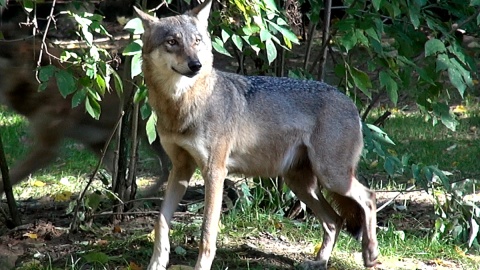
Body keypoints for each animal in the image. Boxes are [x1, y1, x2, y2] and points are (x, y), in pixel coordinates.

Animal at [135, 1, 378, 268]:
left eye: (197, 41)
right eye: (172, 42)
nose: (195, 65)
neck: (182, 106)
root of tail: (350, 102)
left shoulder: (214, 172)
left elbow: (207, 232)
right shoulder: (181, 169)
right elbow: (160, 221)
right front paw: (156, 263)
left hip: (332, 177)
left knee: (369, 197)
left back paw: (371, 255)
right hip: (301, 184)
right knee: (335, 220)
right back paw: (319, 261)